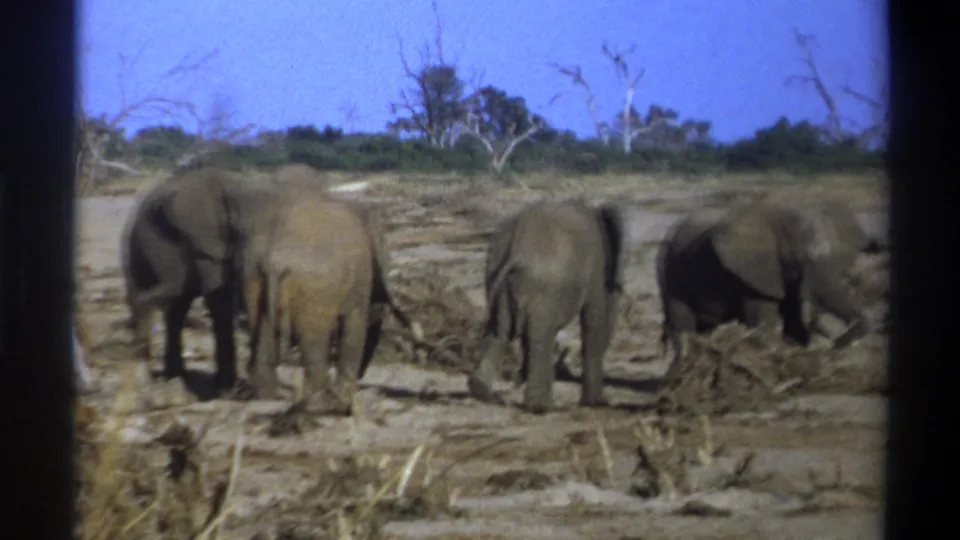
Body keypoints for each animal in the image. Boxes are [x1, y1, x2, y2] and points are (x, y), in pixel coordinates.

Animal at [120, 167, 284, 394]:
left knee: (176, 305)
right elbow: (219, 301)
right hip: (144, 242)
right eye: (240, 232)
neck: (237, 188)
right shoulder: (205, 241)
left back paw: (171, 372)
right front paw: (226, 386)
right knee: (170, 293)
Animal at [242, 190, 418, 414]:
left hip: (252, 275)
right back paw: (318, 402)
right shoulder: (359, 275)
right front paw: (343, 399)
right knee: (314, 338)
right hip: (315, 287)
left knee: (261, 328)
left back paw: (269, 396)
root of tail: (276, 259)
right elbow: (354, 327)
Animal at [466, 199, 627, 414]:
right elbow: (593, 319)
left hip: (496, 279)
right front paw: (597, 403)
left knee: (500, 332)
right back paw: (542, 407)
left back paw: (481, 390)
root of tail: (517, 249)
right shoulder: (597, 267)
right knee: (539, 335)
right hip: (541, 287)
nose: (517, 379)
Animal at [655, 200, 875, 383]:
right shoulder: (752, 278)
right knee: (682, 326)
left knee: (702, 330)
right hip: (668, 272)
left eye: (838, 259)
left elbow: (792, 323)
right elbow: (764, 324)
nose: (834, 346)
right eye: (797, 261)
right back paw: (676, 378)